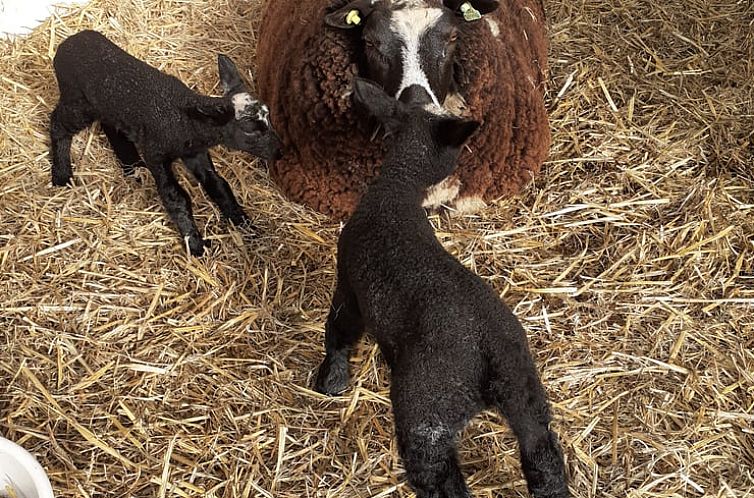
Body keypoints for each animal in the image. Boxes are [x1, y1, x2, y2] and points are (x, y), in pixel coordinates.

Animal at [50, 30, 280, 255]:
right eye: (250, 130)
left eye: (269, 117)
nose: (280, 151)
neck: (186, 124)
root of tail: (67, 43)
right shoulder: (156, 154)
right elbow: (174, 196)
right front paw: (195, 244)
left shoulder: (196, 154)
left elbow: (218, 184)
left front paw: (245, 224)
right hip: (78, 101)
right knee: (58, 123)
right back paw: (62, 174)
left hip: (106, 106)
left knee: (109, 126)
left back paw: (131, 165)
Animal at [312, 78, 568, 498]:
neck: (397, 190)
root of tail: (485, 356)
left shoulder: (349, 280)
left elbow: (339, 329)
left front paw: (331, 379)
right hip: (524, 391)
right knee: (543, 457)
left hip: (427, 411)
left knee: (441, 480)